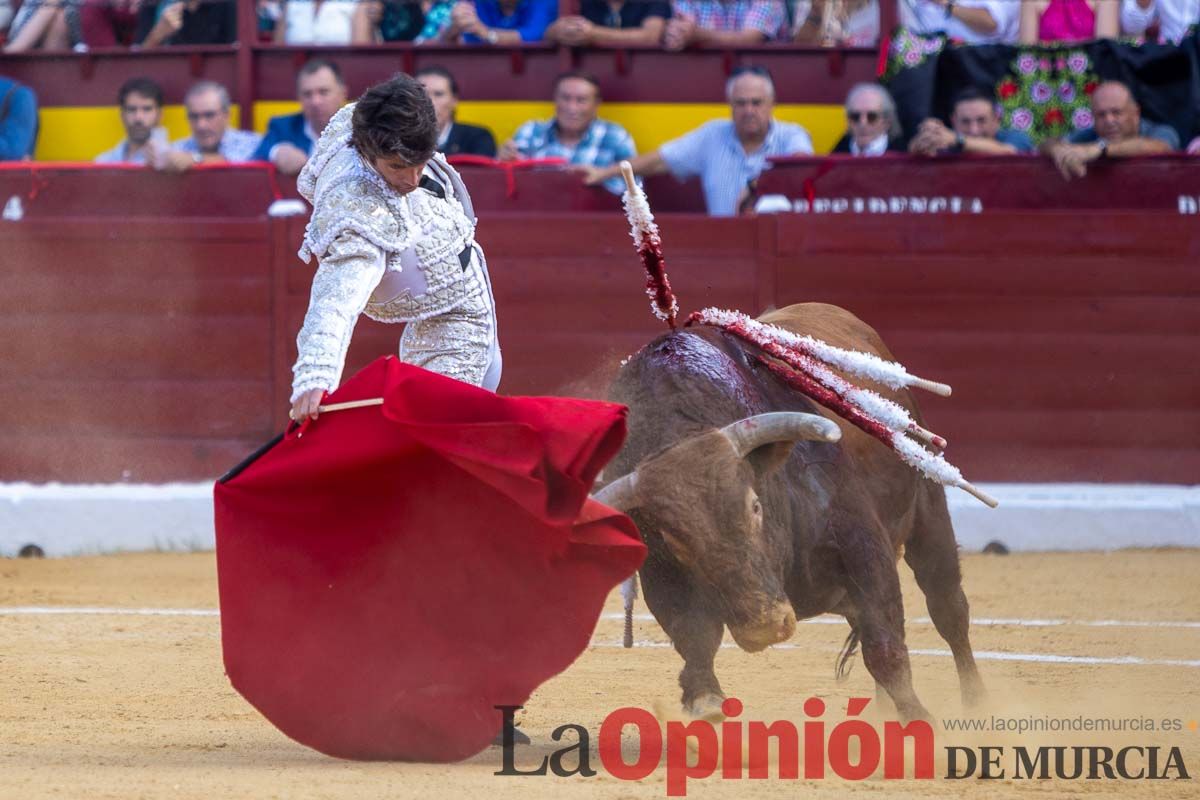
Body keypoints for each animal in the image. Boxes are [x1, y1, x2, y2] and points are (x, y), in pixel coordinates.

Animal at [597, 303, 984, 724]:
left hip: (928, 514)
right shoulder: (663, 576)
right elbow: (694, 641)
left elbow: (886, 648)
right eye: (675, 542)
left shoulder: (864, 549)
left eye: (755, 506)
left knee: (948, 608)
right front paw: (705, 698)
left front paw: (919, 720)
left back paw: (975, 701)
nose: (765, 628)